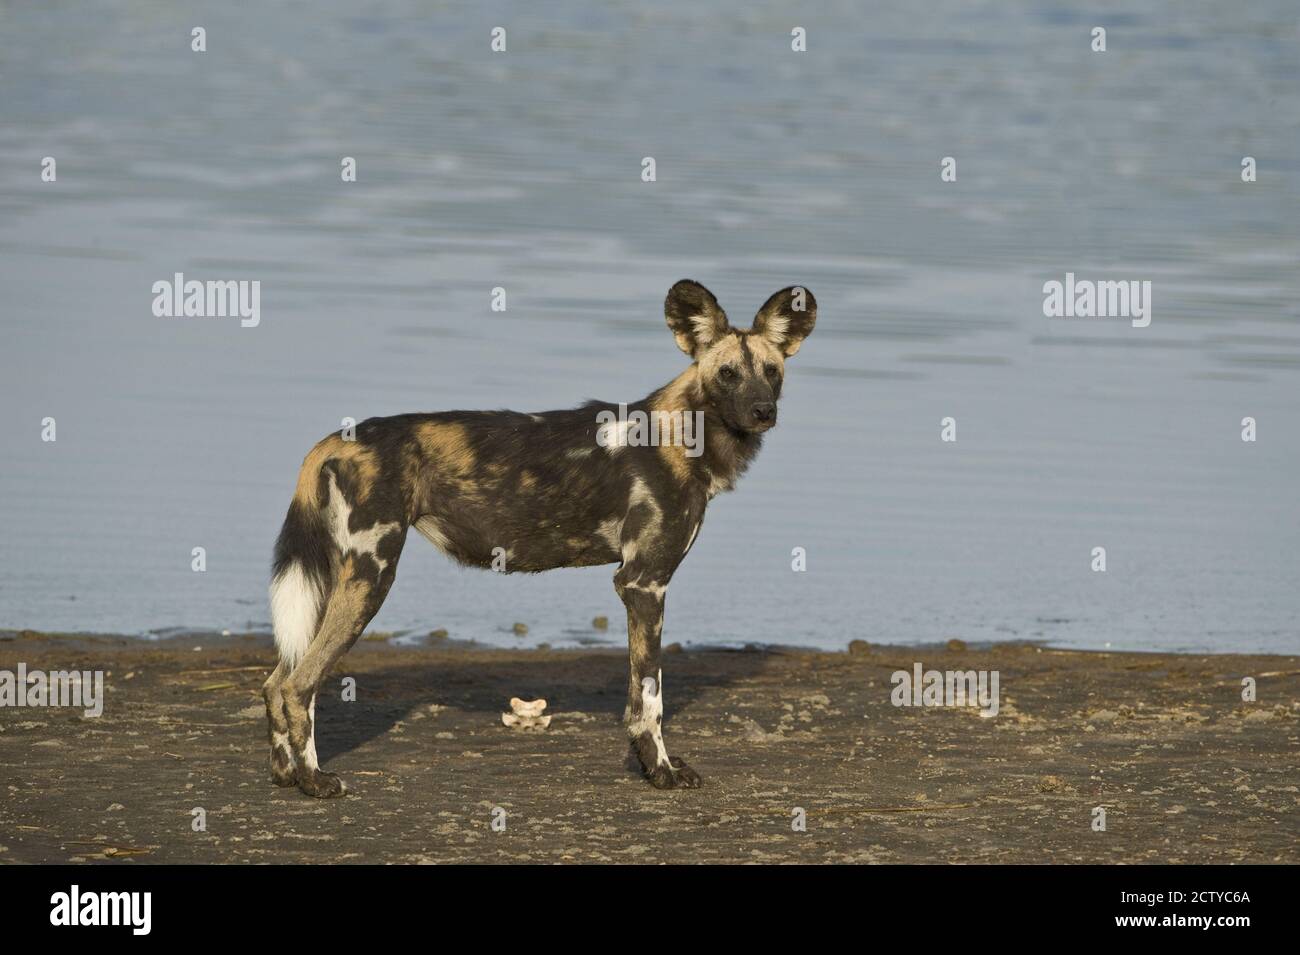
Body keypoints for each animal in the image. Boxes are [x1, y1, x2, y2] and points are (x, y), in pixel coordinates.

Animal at [261, 280, 811, 795]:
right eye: (728, 374)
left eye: (772, 372)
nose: (763, 411)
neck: (681, 434)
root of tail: (334, 441)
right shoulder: (644, 584)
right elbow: (649, 700)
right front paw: (662, 772)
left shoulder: (640, 585)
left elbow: (641, 698)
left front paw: (652, 768)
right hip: (371, 576)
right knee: (299, 685)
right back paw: (314, 781)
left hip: (340, 577)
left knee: (274, 682)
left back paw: (286, 774)